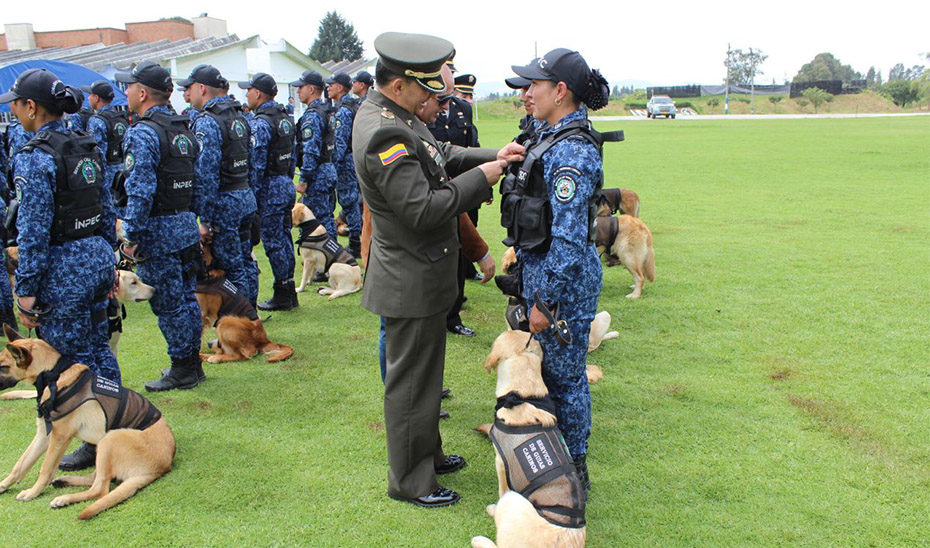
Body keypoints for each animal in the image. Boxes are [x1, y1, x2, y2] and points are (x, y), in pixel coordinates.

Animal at [0, 324, 174, 520]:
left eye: (4, 366)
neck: (54, 374)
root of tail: (163, 466)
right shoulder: (43, 434)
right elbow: (21, 463)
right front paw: (4, 485)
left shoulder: (59, 437)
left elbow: (45, 468)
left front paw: (32, 492)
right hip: (103, 449)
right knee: (96, 479)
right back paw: (64, 482)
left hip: (110, 438)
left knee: (100, 489)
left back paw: (65, 498)